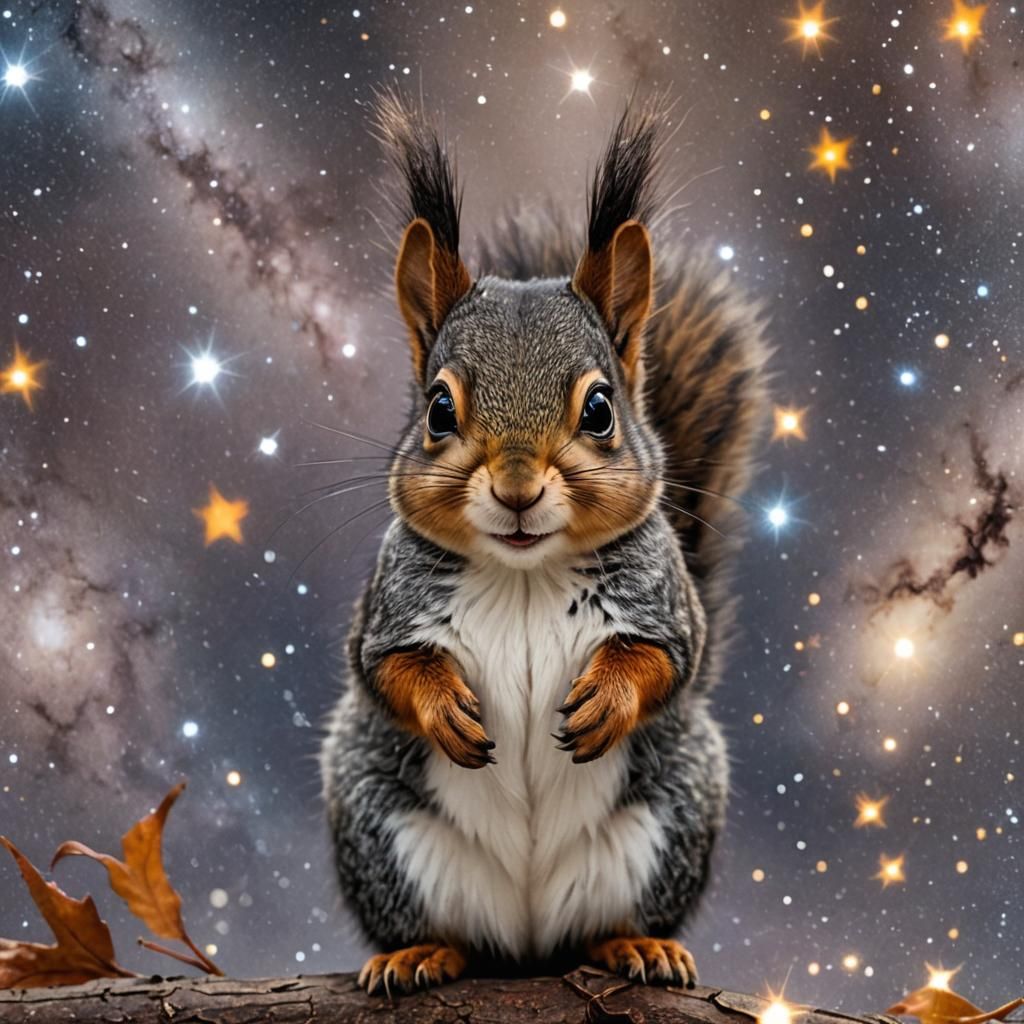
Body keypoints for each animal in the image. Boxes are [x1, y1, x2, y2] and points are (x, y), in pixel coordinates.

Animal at [320, 90, 770, 996]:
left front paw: (609, 695)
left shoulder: (669, 605)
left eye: (599, 409)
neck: (524, 573)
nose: (518, 487)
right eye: (438, 409)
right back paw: (420, 952)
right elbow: (386, 668)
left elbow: (670, 657)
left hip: (675, 807)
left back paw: (635, 944)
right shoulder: (385, 610)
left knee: (602, 922)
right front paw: (444, 705)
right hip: (376, 816)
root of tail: (527, 943)